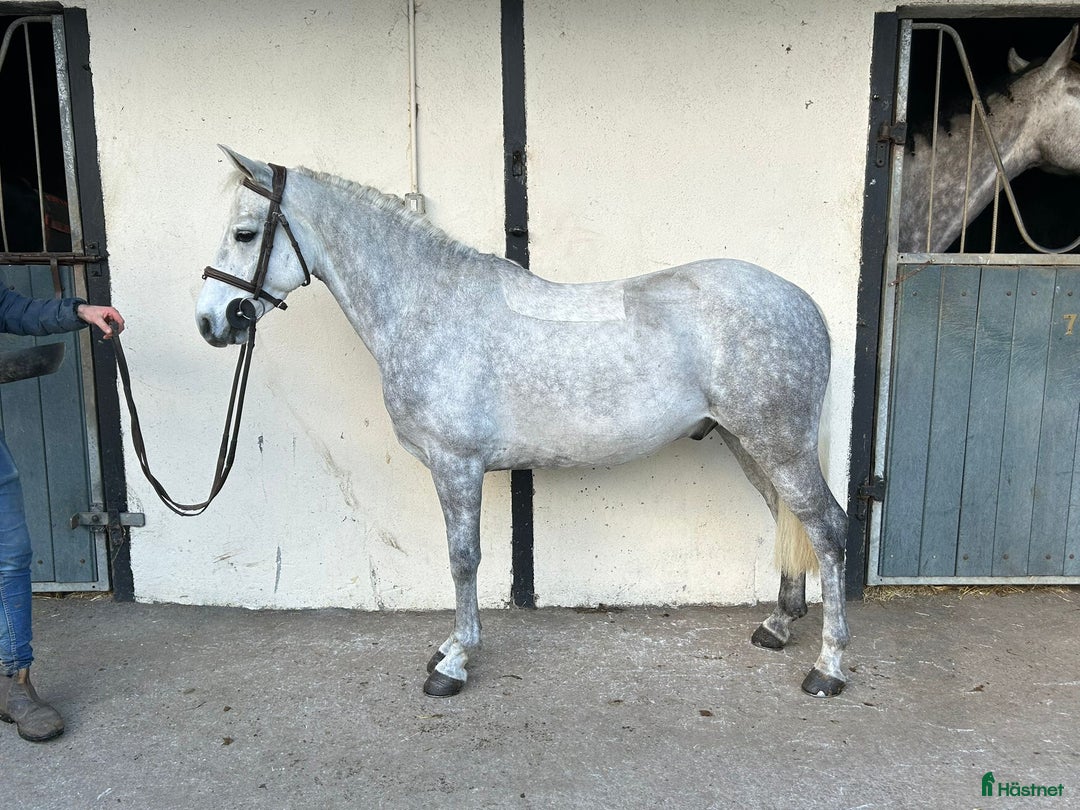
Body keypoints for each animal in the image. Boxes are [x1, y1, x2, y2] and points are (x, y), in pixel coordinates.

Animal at [195, 146, 849, 699]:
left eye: (244, 233)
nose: (212, 322)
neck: (429, 307)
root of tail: (803, 303)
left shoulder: (456, 465)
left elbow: (463, 559)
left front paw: (454, 662)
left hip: (778, 445)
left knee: (828, 529)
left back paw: (828, 668)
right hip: (749, 443)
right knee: (789, 519)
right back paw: (776, 627)